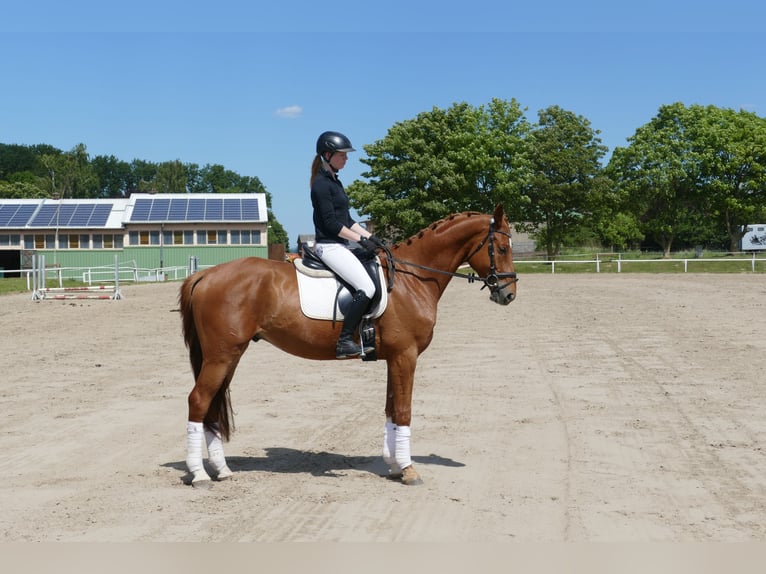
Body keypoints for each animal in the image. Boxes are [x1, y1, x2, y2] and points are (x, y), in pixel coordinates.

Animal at [179, 203, 518, 488]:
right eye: (501, 248)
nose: (508, 294)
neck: (413, 279)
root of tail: (205, 275)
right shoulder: (405, 356)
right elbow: (404, 410)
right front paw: (408, 470)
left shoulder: (393, 358)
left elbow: (390, 409)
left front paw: (393, 465)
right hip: (221, 356)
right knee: (198, 401)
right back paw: (199, 475)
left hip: (230, 355)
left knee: (212, 405)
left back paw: (222, 470)